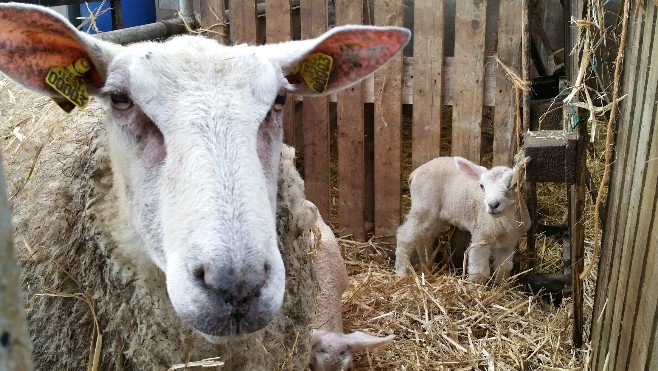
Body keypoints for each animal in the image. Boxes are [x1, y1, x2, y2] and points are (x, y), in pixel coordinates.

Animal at [394, 155, 528, 286]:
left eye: (512, 185)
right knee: (405, 236)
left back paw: (428, 268)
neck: (503, 223)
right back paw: (401, 273)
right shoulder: (480, 237)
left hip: (435, 217)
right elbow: (479, 272)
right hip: (423, 207)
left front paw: (502, 287)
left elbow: (504, 268)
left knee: (424, 238)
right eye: (482, 186)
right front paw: (473, 289)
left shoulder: (508, 244)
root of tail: (414, 173)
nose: (493, 205)